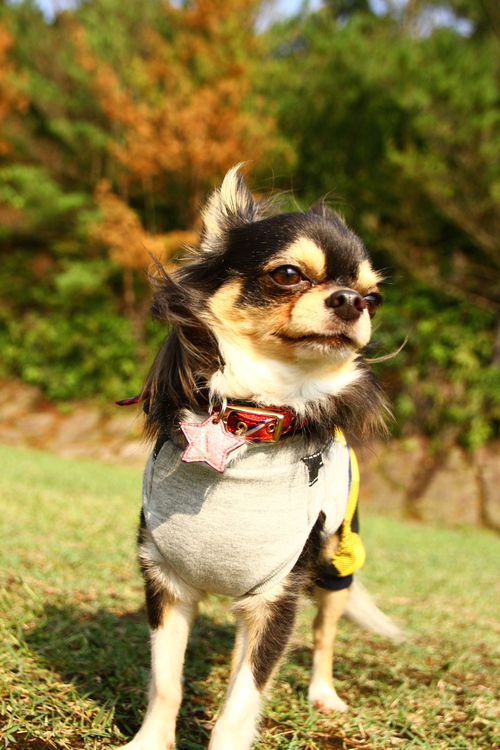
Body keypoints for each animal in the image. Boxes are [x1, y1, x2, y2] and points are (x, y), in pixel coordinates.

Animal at [122, 167, 402, 750]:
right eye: (288, 274)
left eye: (374, 298)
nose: (351, 300)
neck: (251, 419)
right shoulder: (166, 582)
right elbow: (167, 683)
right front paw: (149, 742)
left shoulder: (278, 598)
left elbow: (239, 705)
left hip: (336, 566)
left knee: (322, 638)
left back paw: (324, 694)